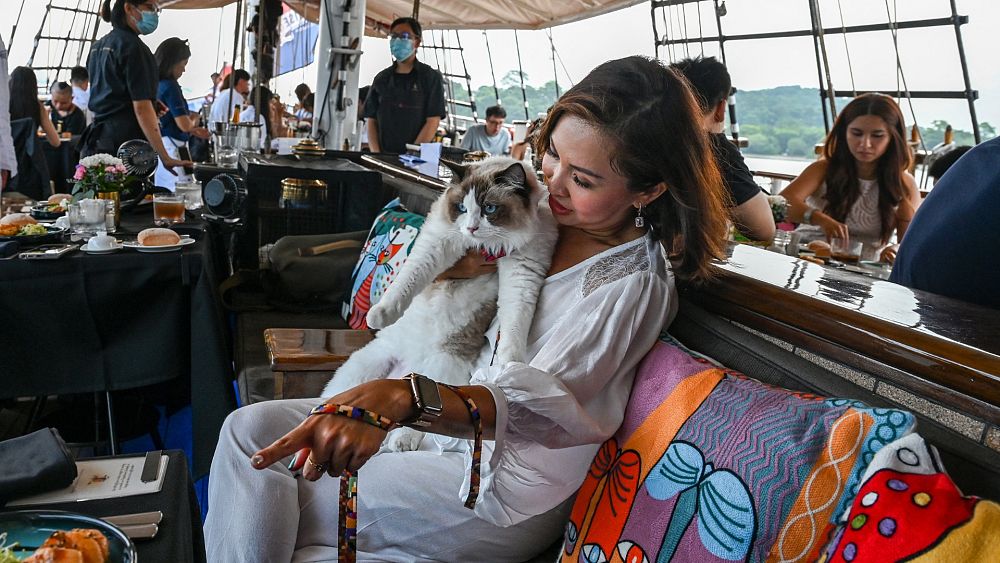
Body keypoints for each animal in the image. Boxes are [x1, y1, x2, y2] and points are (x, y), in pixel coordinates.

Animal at [320, 156, 556, 448]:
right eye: (462, 208)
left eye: (489, 208)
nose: (471, 228)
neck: (485, 247)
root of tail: (407, 371)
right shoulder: (439, 243)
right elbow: (409, 279)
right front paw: (380, 314)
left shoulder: (523, 269)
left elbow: (514, 324)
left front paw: (510, 364)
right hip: (363, 370)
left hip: (439, 374)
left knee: (421, 418)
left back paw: (400, 440)